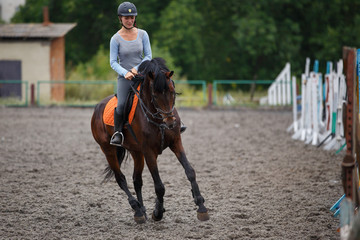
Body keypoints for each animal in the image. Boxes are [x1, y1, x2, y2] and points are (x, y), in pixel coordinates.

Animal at [90, 57, 210, 223]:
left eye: (172, 92)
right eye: (155, 95)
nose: (170, 123)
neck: (158, 120)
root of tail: (97, 107)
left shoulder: (176, 142)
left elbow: (190, 171)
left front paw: (201, 206)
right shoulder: (149, 152)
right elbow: (159, 186)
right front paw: (158, 212)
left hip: (136, 152)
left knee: (136, 180)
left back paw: (142, 211)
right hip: (108, 149)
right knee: (121, 178)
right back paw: (137, 209)